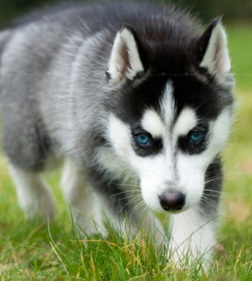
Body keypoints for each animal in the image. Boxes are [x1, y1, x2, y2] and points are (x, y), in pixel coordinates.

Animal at [0, 1, 233, 264]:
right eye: (142, 137)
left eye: (196, 135)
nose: (171, 200)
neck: (159, 34)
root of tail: (16, 32)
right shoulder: (103, 166)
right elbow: (136, 220)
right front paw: (152, 255)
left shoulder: (205, 166)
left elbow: (196, 217)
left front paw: (185, 263)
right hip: (37, 139)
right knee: (22, 161)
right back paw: (38, 206)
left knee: (71, 183)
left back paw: (89, 234)